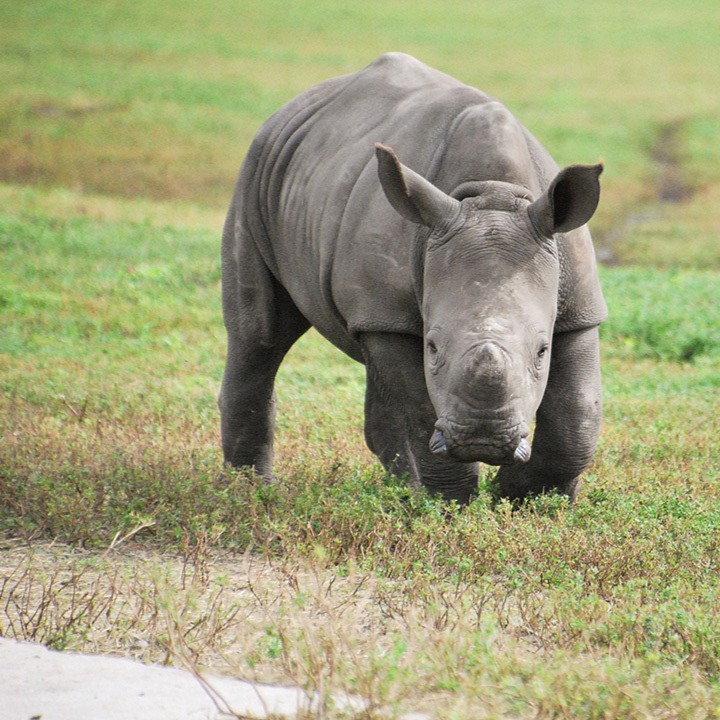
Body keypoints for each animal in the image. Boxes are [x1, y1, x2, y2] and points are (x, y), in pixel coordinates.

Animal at [219, 53, 608, 504]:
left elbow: (576, 414)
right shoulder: (388, 315)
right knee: (259, 335)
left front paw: (531, 499)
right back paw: (248, 491)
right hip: (256, 174)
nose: (482, 442)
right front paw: (453, 503)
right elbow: (420, 414)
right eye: (432, 347)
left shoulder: (578, 309)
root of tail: (289, 109)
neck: (492, 194)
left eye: (542, 351)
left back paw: (400, 489)